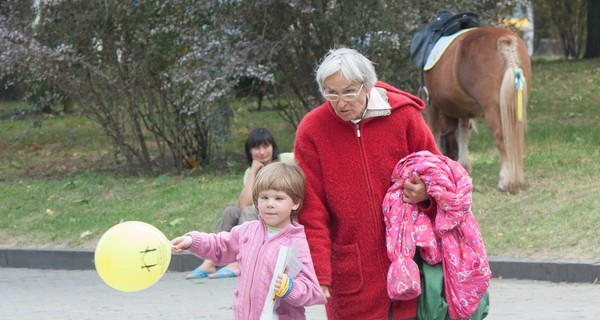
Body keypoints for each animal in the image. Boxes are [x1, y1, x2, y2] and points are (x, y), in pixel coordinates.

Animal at [422, 26, 528, 191]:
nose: (450, 157)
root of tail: (505, 41)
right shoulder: (463, 109)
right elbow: (463, 133)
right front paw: (464, 165)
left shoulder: (432, 104)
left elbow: (434, 133)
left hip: (492, 109)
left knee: (501, 137)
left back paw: (505, 181)